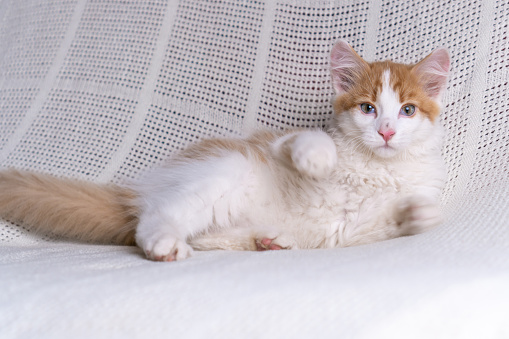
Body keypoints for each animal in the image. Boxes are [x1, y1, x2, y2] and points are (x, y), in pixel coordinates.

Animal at [0, 40, 448, 262]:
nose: (386, 131)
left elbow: (390, 221)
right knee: (155, 219)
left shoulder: (351, 233)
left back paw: (269, 242)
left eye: (407, 110)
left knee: (204, 236)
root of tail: (139, 192)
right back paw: (165, 244)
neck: (376, 168)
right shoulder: (277, 145)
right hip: (226, 169)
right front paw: (318, 159)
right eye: (367, 108)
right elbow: (307, 142)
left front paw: (418, 214)